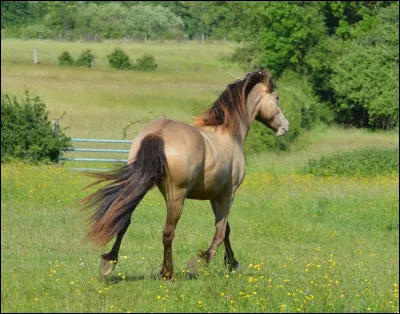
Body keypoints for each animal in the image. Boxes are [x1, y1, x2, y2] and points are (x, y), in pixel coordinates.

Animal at [79, 68, 290, 280]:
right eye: (277, 98)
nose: (285, 127)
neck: (228, 134)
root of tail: (158, 134)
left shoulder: (215, 196)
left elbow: (226, 229)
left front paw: (231, 263)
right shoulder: (228, 194)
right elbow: (221, 231)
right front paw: (202, 261)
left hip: (141, 185)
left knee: (123, 219)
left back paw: (110, 261)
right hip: (176, 197)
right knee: (168, 232)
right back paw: (167, 273)